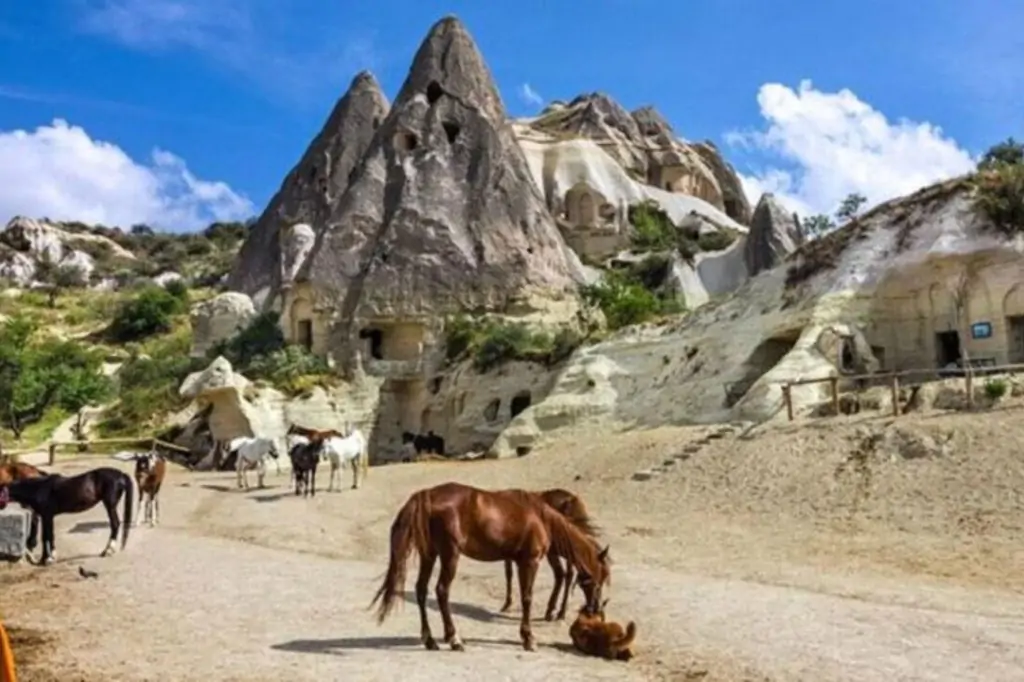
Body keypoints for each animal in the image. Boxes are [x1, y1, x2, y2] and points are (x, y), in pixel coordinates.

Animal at [0, 464, 134, 565]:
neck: (38, 488)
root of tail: (121, 474)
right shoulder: (46, 516)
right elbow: (47, 536)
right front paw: (46, 558)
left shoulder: (47, 515)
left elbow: (48, 536)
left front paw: (49, 559)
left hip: (110, 504)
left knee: (115, 524)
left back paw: (107, 551)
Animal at [497, 485, 598, 618]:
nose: (593, 608)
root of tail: (571, 501)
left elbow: (508, 573)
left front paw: (507, 604)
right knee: (568, 574)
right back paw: (560, 612)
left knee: (562, 573)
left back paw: (552, 610)